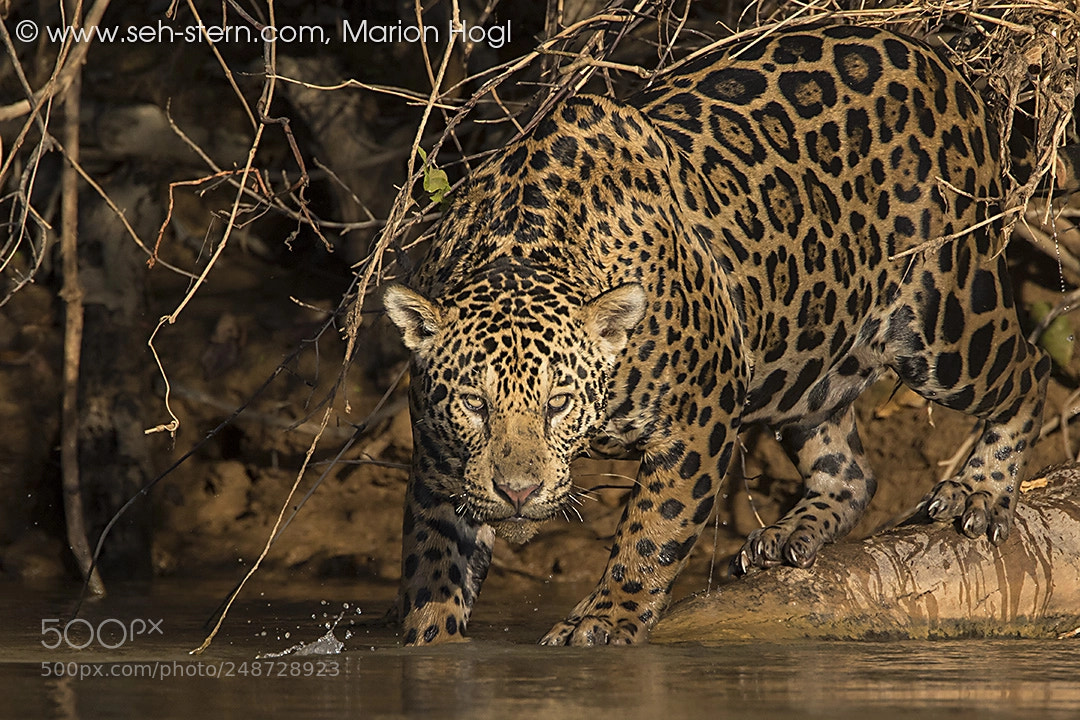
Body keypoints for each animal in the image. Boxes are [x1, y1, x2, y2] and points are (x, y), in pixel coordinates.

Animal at [382, 23, 1051, 647]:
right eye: (475, 403)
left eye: (559, 403)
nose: (519, 492)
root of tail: (930, 49)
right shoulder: (437, 464)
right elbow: (434, 561)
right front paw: (431, 641)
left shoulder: (698, 418)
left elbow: (652, 532)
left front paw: (605, 620)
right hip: (810, 361)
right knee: (852, 470)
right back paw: (788, 534)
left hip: (947, 317)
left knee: (1029, 370)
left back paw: (980, 492)